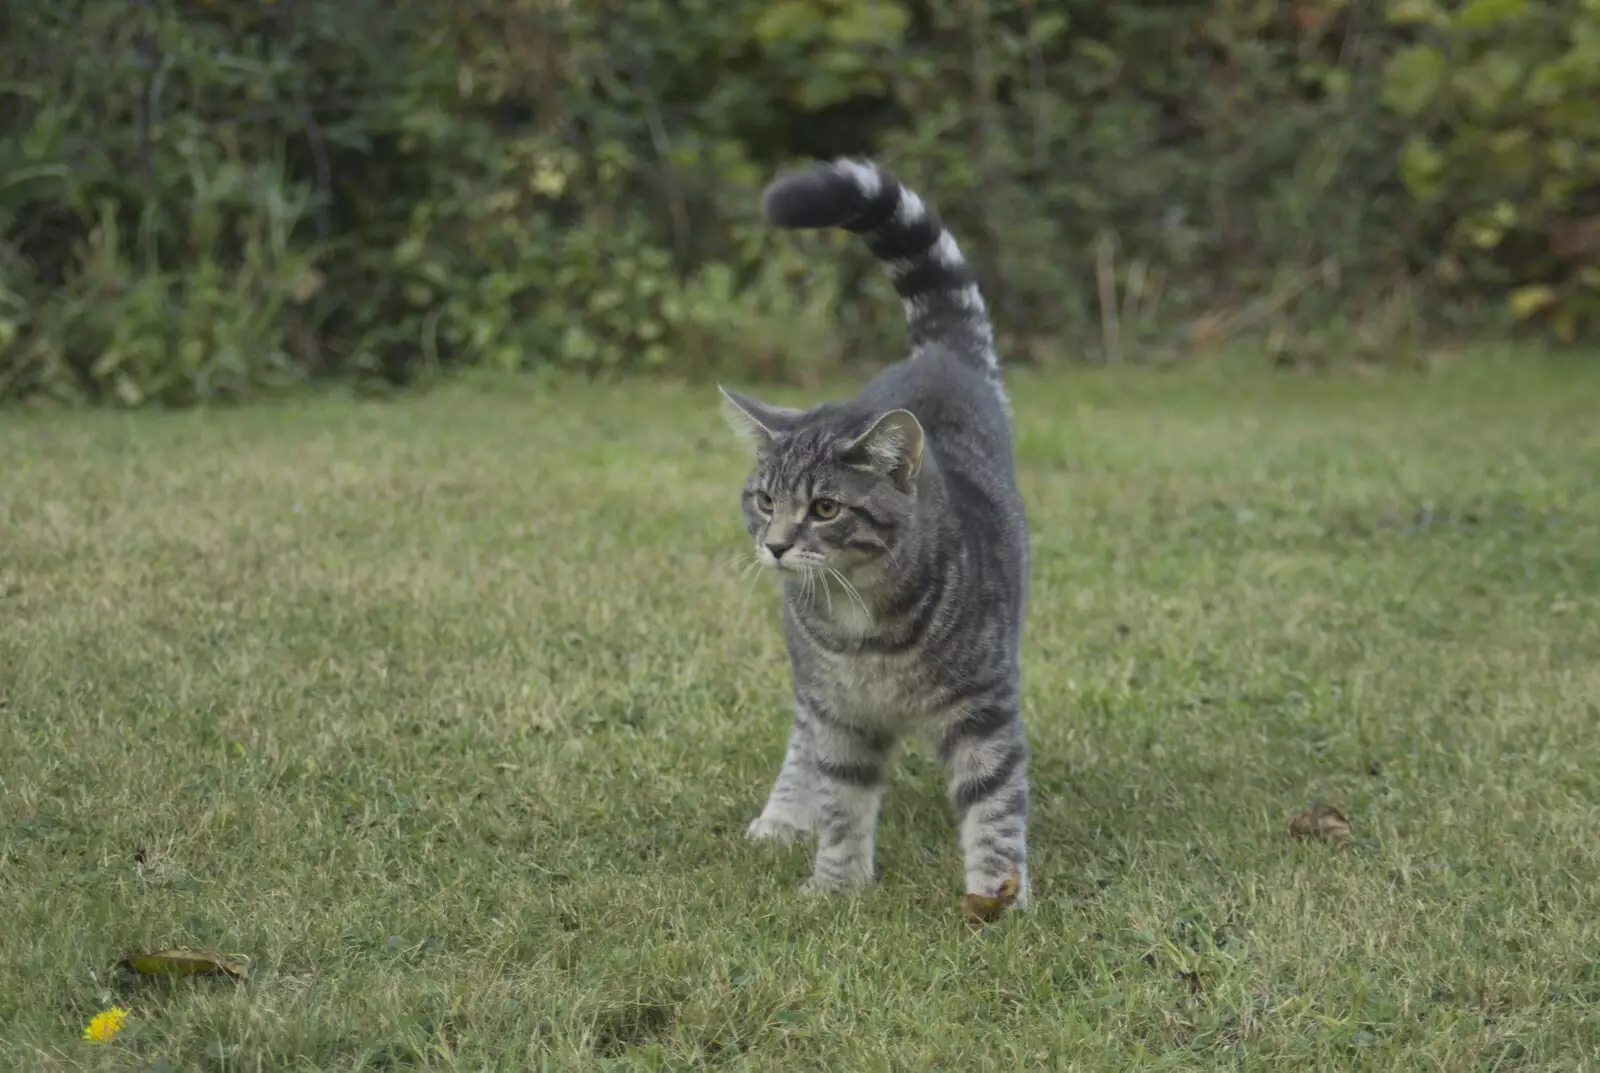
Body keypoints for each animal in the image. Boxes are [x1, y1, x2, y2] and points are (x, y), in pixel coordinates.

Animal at [720, 155, 1030, 921]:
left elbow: (994, 804)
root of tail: (940, 357)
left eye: (826, 507)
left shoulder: (985, 706)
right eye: (765, 499)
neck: (868, 621)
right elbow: (842, 799)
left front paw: (996, 897)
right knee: (801, 742)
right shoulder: (840, 712)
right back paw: (782, 817)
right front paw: (836, 886)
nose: (775, 544)